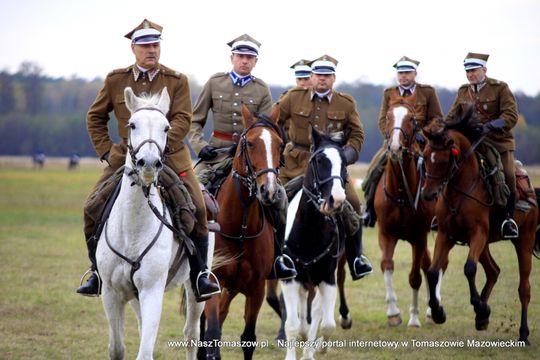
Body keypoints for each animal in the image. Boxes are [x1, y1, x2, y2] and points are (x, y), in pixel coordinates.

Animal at [96, 88, 206, 360]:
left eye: (166, 128)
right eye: (132, 124)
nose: (148, 164)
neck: (132, 229)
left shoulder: (152, 291)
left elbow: (145, 351)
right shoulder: (111, 294)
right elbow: (117, 349)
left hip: (195, 290)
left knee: (191, 334)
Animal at [201, 105, 284, 358]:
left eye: (279, 144)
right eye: (251, 143)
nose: (269, 191)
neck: (240, 227)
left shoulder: (256, 289)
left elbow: (248, 338)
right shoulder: (213, 282)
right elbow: (212, 335)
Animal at [280, 129, 348, 360]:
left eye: (344, 161)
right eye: (319, 160)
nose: (336, 199)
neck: (309, 230)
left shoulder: (328, 279)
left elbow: (327, 324)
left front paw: (318, 348)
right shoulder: (289, 278)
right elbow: (292, 324)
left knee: (317, 311)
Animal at [374, 92, 436, 326]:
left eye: (412, 119)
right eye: (388, 116)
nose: (394, 148)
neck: (401, 190)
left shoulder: (419, 236)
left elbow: (415, 277)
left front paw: (414, 318)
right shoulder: (386, 233)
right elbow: (386, 265)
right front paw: (393, 313)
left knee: (430, 265)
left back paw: (431, 311)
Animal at [424, 117, 536, 344]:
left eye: (443, 160)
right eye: (425, 157)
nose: (428, 194)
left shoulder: (478, 233)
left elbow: (469, 268)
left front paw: (480, 307)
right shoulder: (445, 235)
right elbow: (432, 272)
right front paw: (439, 312)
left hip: (524, 241)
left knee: (524, 288)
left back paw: (523, 333)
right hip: (485, 244)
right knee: (493, 271)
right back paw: (482, 317)